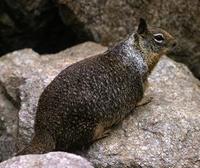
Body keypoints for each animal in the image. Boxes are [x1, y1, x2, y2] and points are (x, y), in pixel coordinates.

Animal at [16, 18, 177, 155]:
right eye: (159, 37)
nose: (175, 43)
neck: (136, 52)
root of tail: (43, 131)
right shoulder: (139, 82)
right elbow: (139, 97)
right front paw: (146, 99)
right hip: (88, 126)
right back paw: (104, 133)